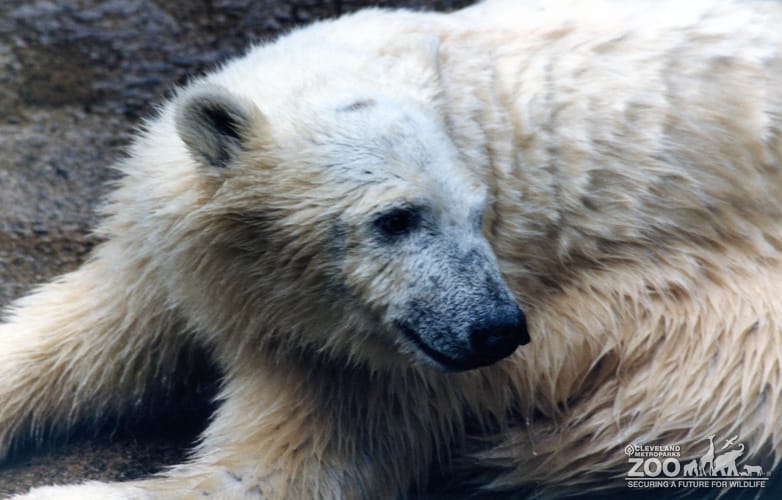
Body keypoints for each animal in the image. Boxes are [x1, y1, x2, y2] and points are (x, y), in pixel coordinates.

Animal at [2, 0, 782, 497]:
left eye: (477, 214)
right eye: (397, 218)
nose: (497, 330)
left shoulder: (377, 366)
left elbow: (288, 466)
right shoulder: (165, 248)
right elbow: (86, 333)